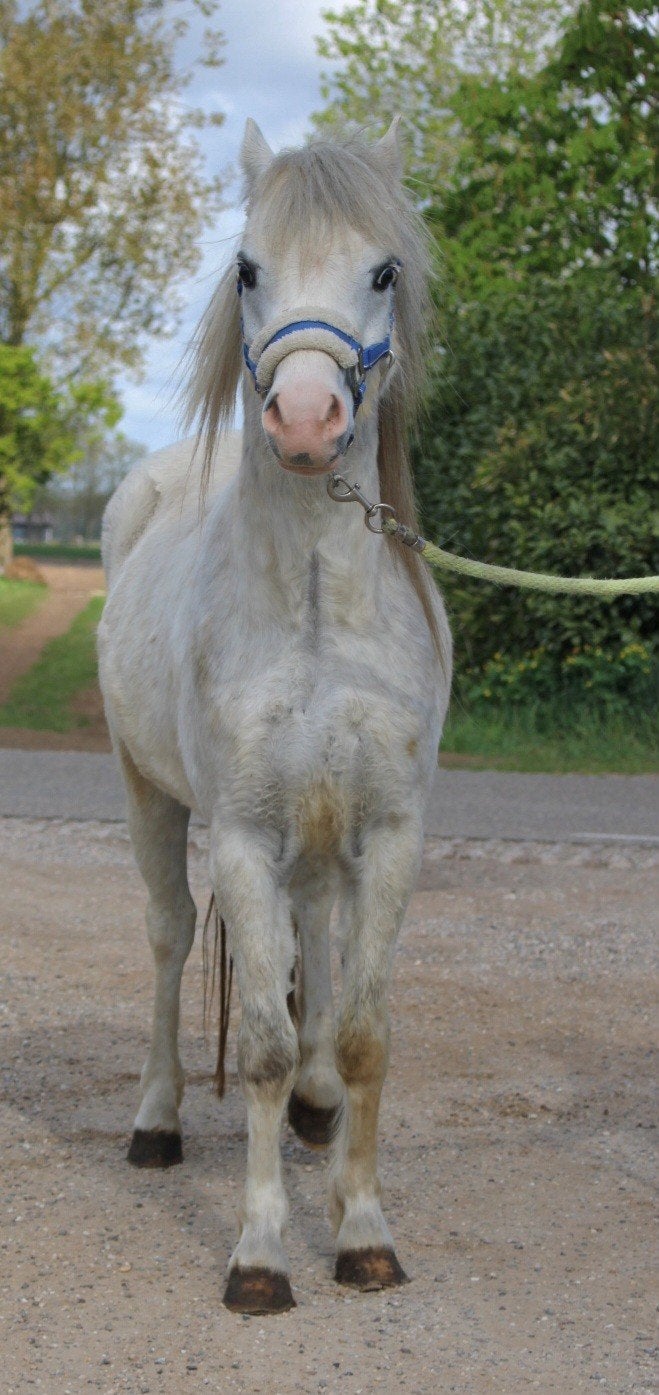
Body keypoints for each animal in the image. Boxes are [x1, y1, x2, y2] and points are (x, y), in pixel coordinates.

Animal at [98, 117, 452, 1316]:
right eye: (248, 268)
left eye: (382, 271)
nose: (303, 419)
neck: (311, 609)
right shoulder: (245, 837)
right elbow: (254, 1038)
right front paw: (258, 1255)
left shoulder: (388, 834)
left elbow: (362, 1033)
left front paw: (363, 1232)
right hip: (152, 799)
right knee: (168, 937)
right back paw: (156, 1120)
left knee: (315, 946)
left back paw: (312, 1108)